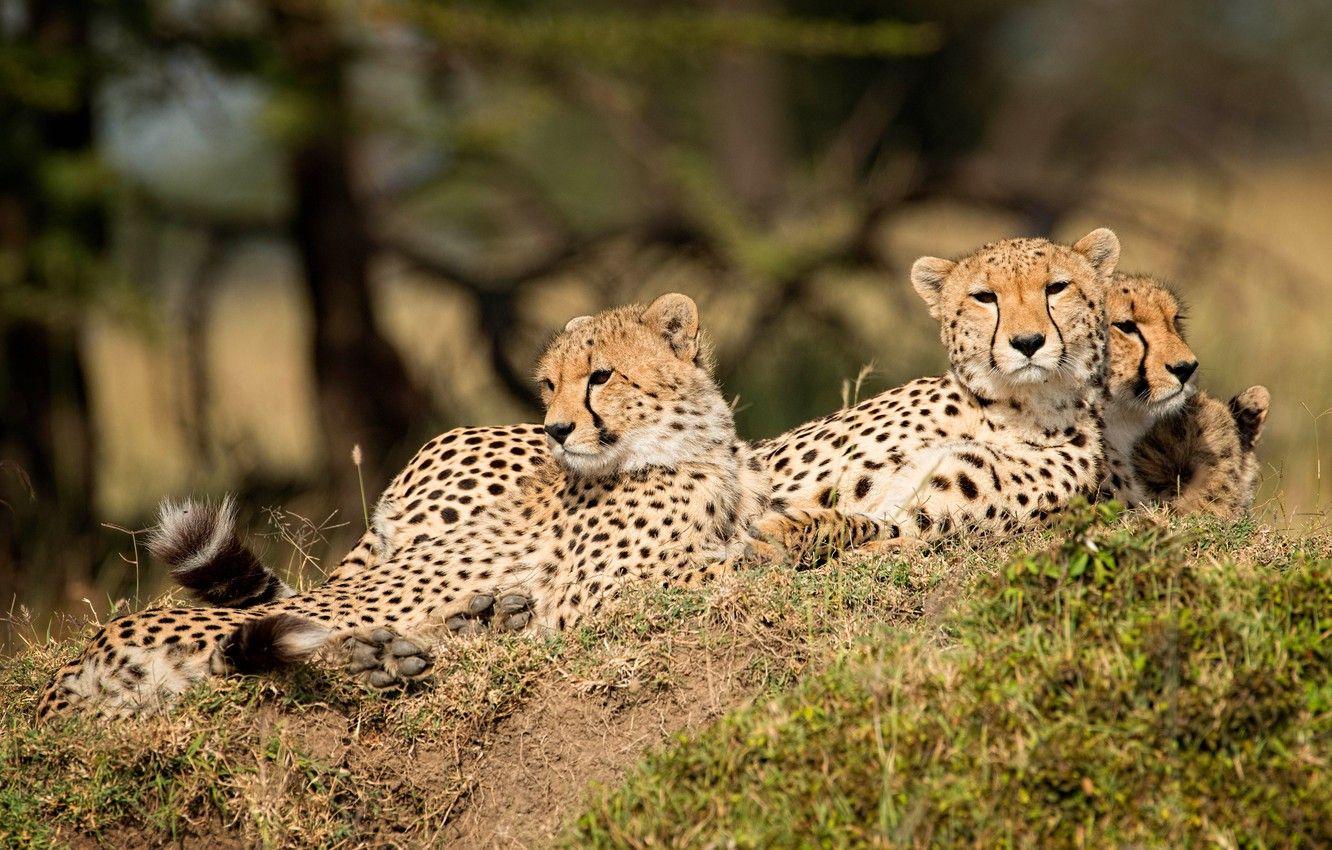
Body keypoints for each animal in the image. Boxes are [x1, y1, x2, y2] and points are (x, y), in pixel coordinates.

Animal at [36, 293, 777, 720]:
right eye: (548, 384)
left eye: (601, 376)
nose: (557, 429)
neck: (684, 447)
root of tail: (84, 656)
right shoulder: (590, 599)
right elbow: (729, 565)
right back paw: (391, 654)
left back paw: (471, 626)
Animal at [752, 229, 1121, 548]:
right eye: (984, 297)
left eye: (1057, 287)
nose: (1028, 342)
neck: (1015, 412)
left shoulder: (922, 516)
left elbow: (865, 524)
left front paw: (777, 536)